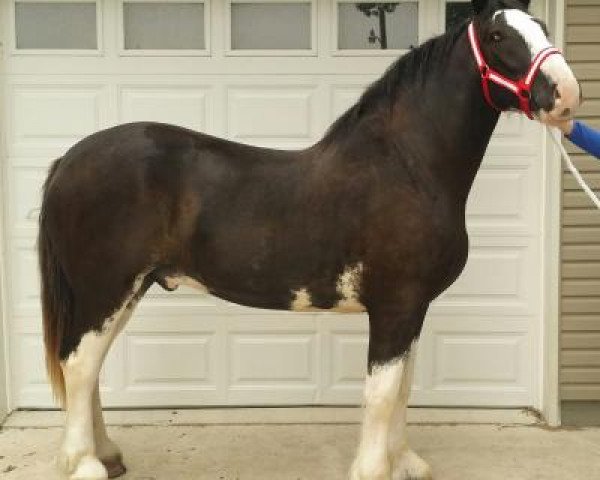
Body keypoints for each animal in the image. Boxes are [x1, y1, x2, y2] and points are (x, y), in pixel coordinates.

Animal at [38, 0, 580, 480]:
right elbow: (383, 393)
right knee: (79, 365)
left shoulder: (414, 308)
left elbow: (403, 387)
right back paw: (84, 464)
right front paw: (373, 470)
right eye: (497, 36)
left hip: (126, 290)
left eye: (542, 27)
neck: (407, 165)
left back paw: (107, 456)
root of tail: (68, 161)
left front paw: (404, 463)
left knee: (88, 368)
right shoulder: (396, 305)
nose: (566, 94)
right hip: (105, 290)